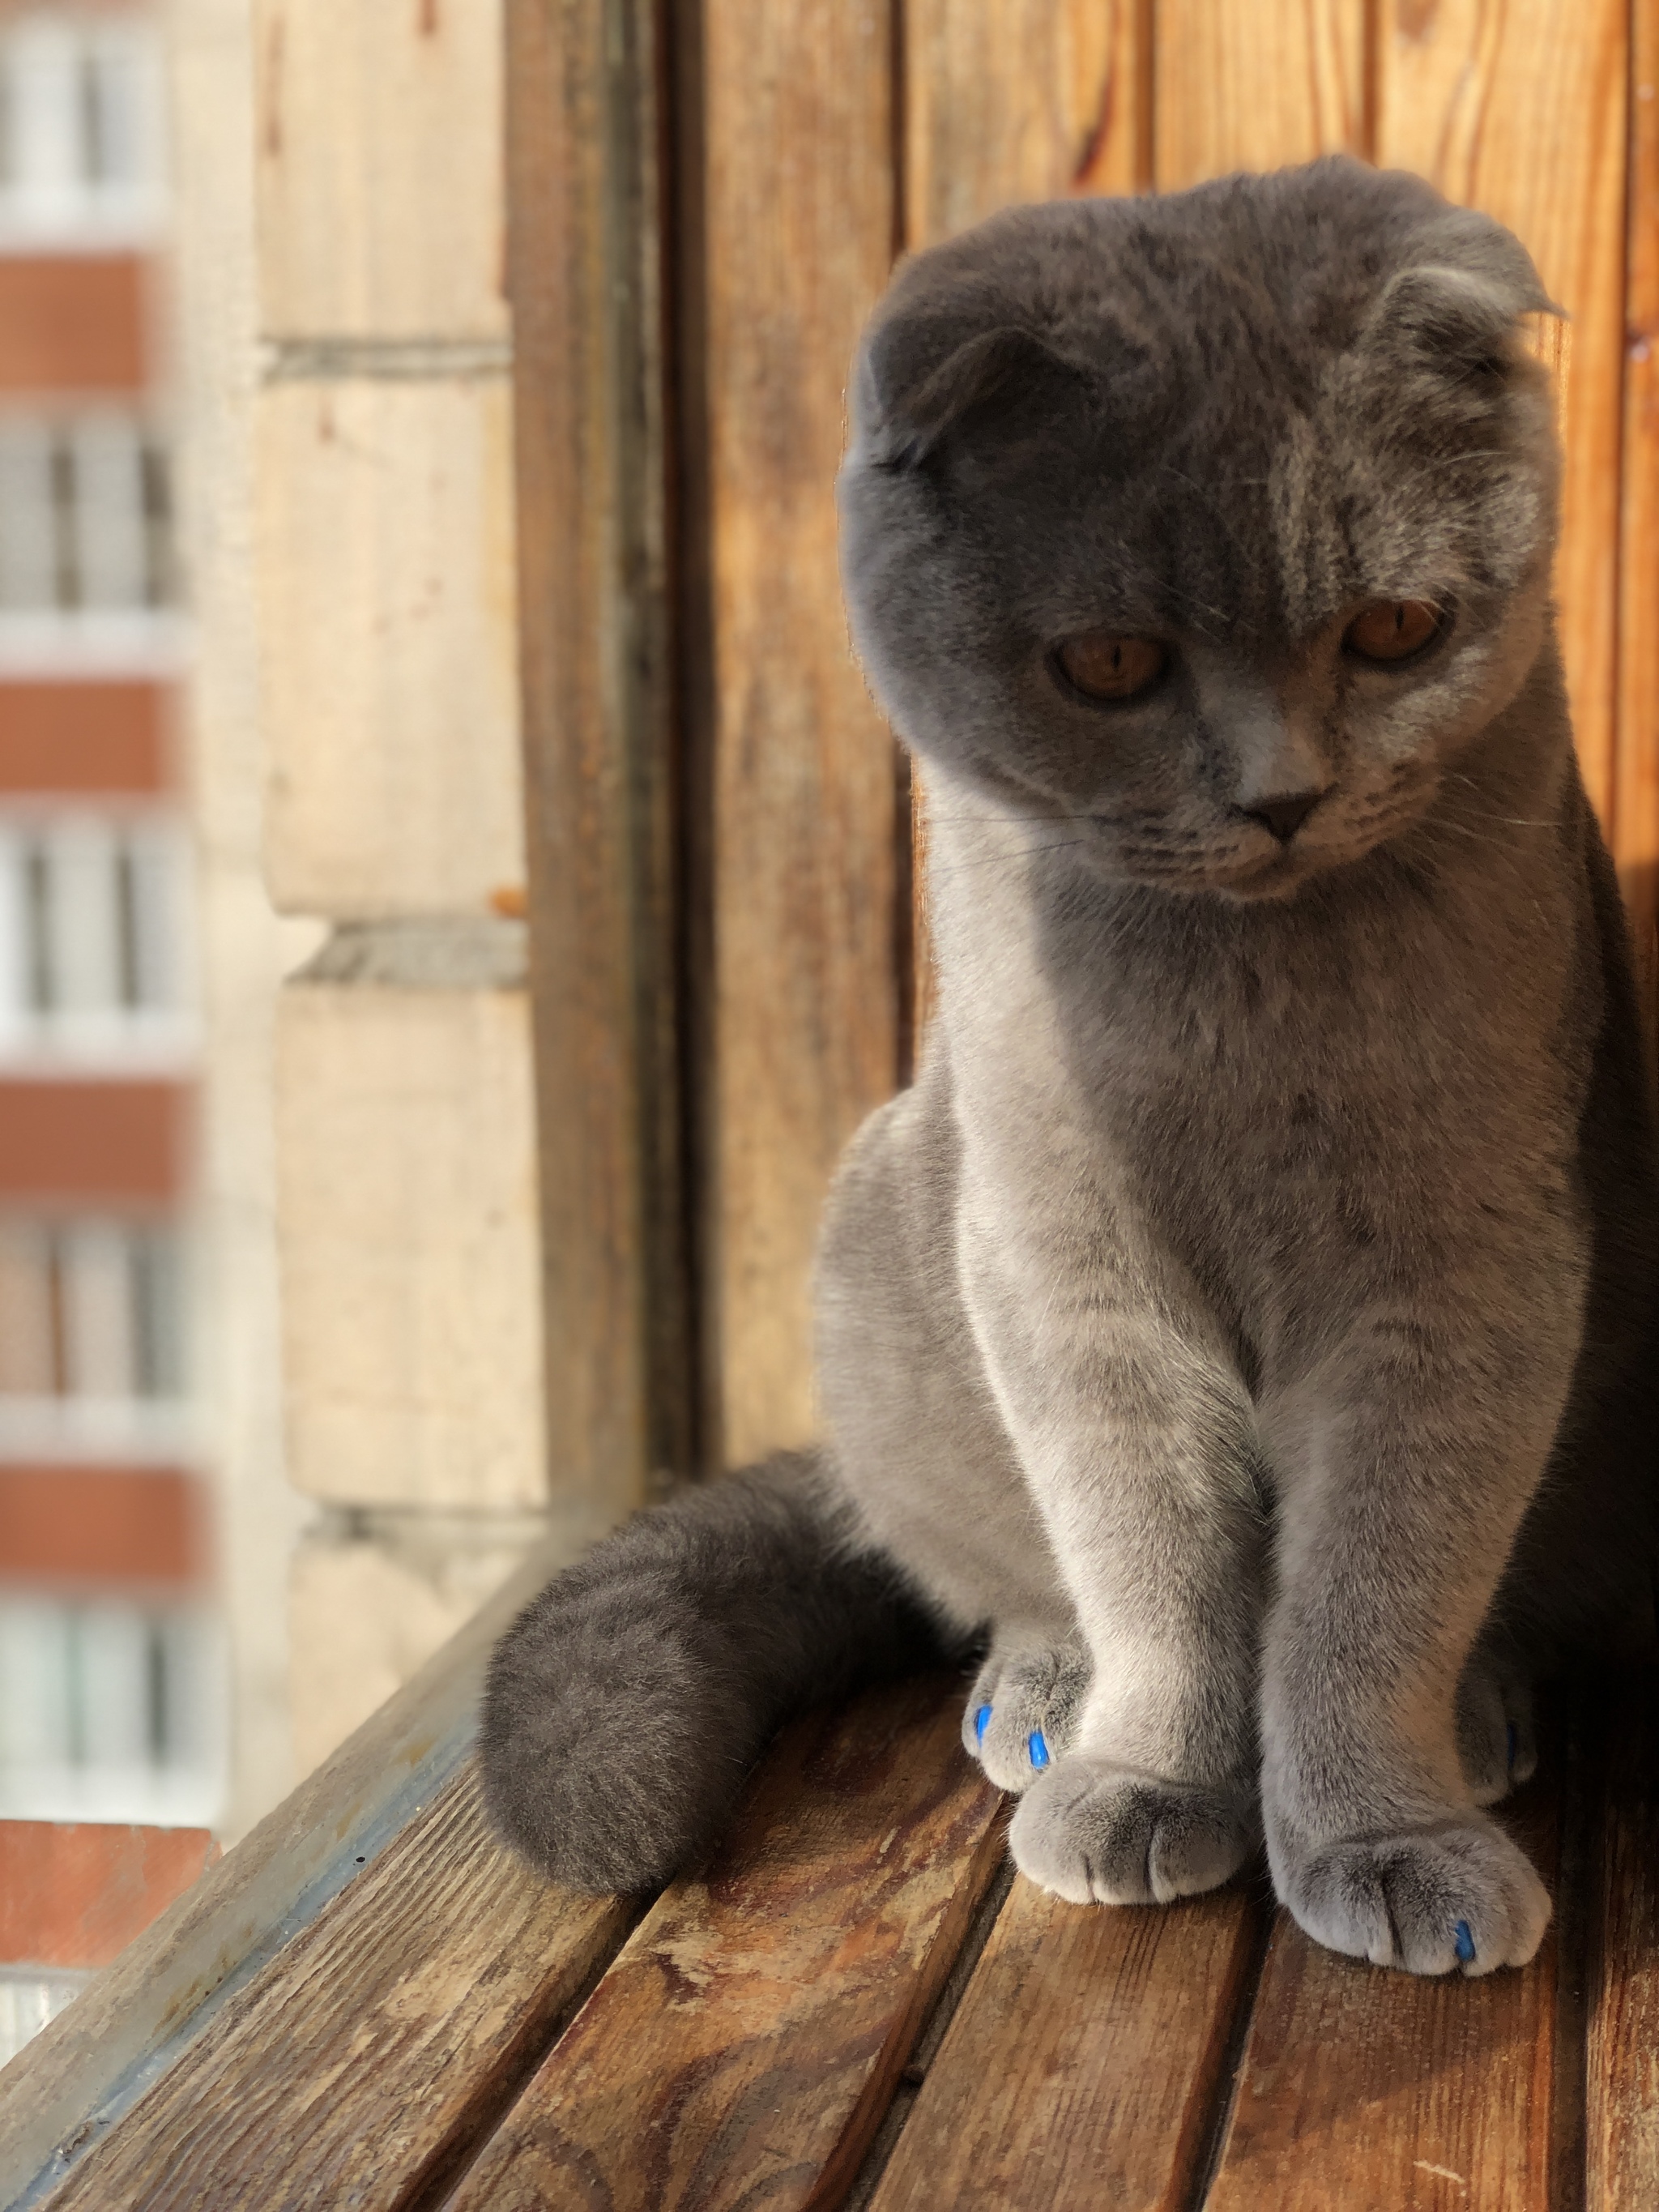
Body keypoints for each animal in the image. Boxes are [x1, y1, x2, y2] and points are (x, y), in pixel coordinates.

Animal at [480, 160, 1659, 1991]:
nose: (1280, 798)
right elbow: (1151, 1551)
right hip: (892, 1234)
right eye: (1107, 664)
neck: (1233, 1025)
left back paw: (1478, 1712)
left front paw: (1382, 1836)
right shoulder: (1065, 1258)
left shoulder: (1455, 1269)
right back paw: (1042, 1703)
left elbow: (1375, 1582)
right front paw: (1151, 1782)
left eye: (1395, 630)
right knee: (1001, 1573)